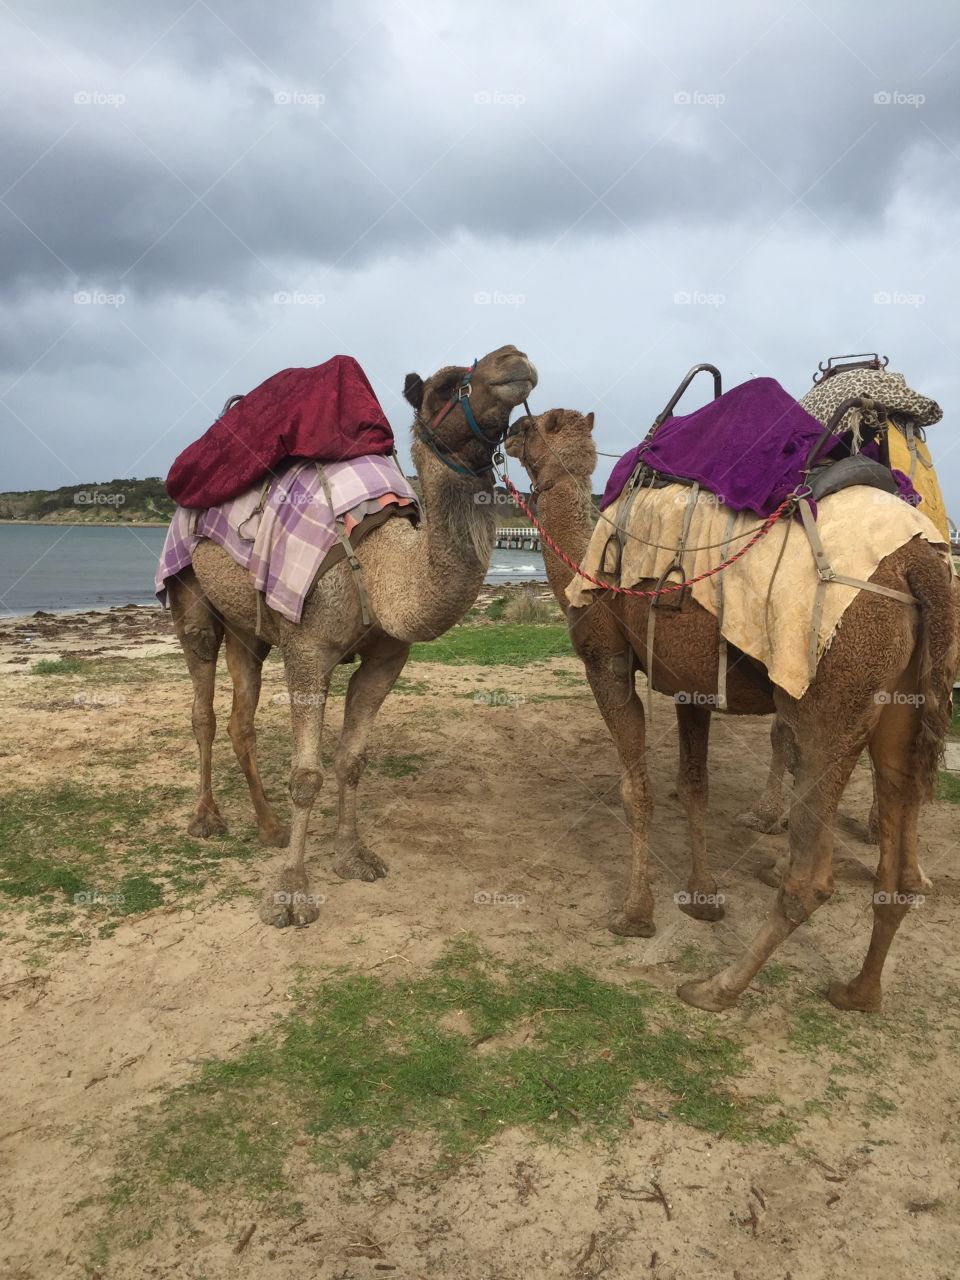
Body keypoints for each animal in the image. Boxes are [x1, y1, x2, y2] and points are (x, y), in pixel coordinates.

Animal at [166, 345, 537, 927]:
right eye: (445, 384)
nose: (513, 357)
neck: (382, 567)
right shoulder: (307, 649)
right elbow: (306, 776)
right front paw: (291, 894)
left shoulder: (387, 659)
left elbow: (352, 761)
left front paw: (352, 856)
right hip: (189, 591)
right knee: (202, 700)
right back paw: (206, 819)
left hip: (249, 629)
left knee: (240, 717)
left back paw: (269, 829)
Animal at [506, 408, 958, 1011]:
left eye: (535, 423)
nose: (507, 433)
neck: (583, 556)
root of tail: (919, 562)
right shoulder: (692, 685)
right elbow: (693, 785)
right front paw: (703, 896)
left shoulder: (606, 661)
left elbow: (637, 791)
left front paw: (634, 914)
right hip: (905, 705)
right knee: (900, 868)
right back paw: (858, 992)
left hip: (834, 697)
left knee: (812, 877)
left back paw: (717, 987)